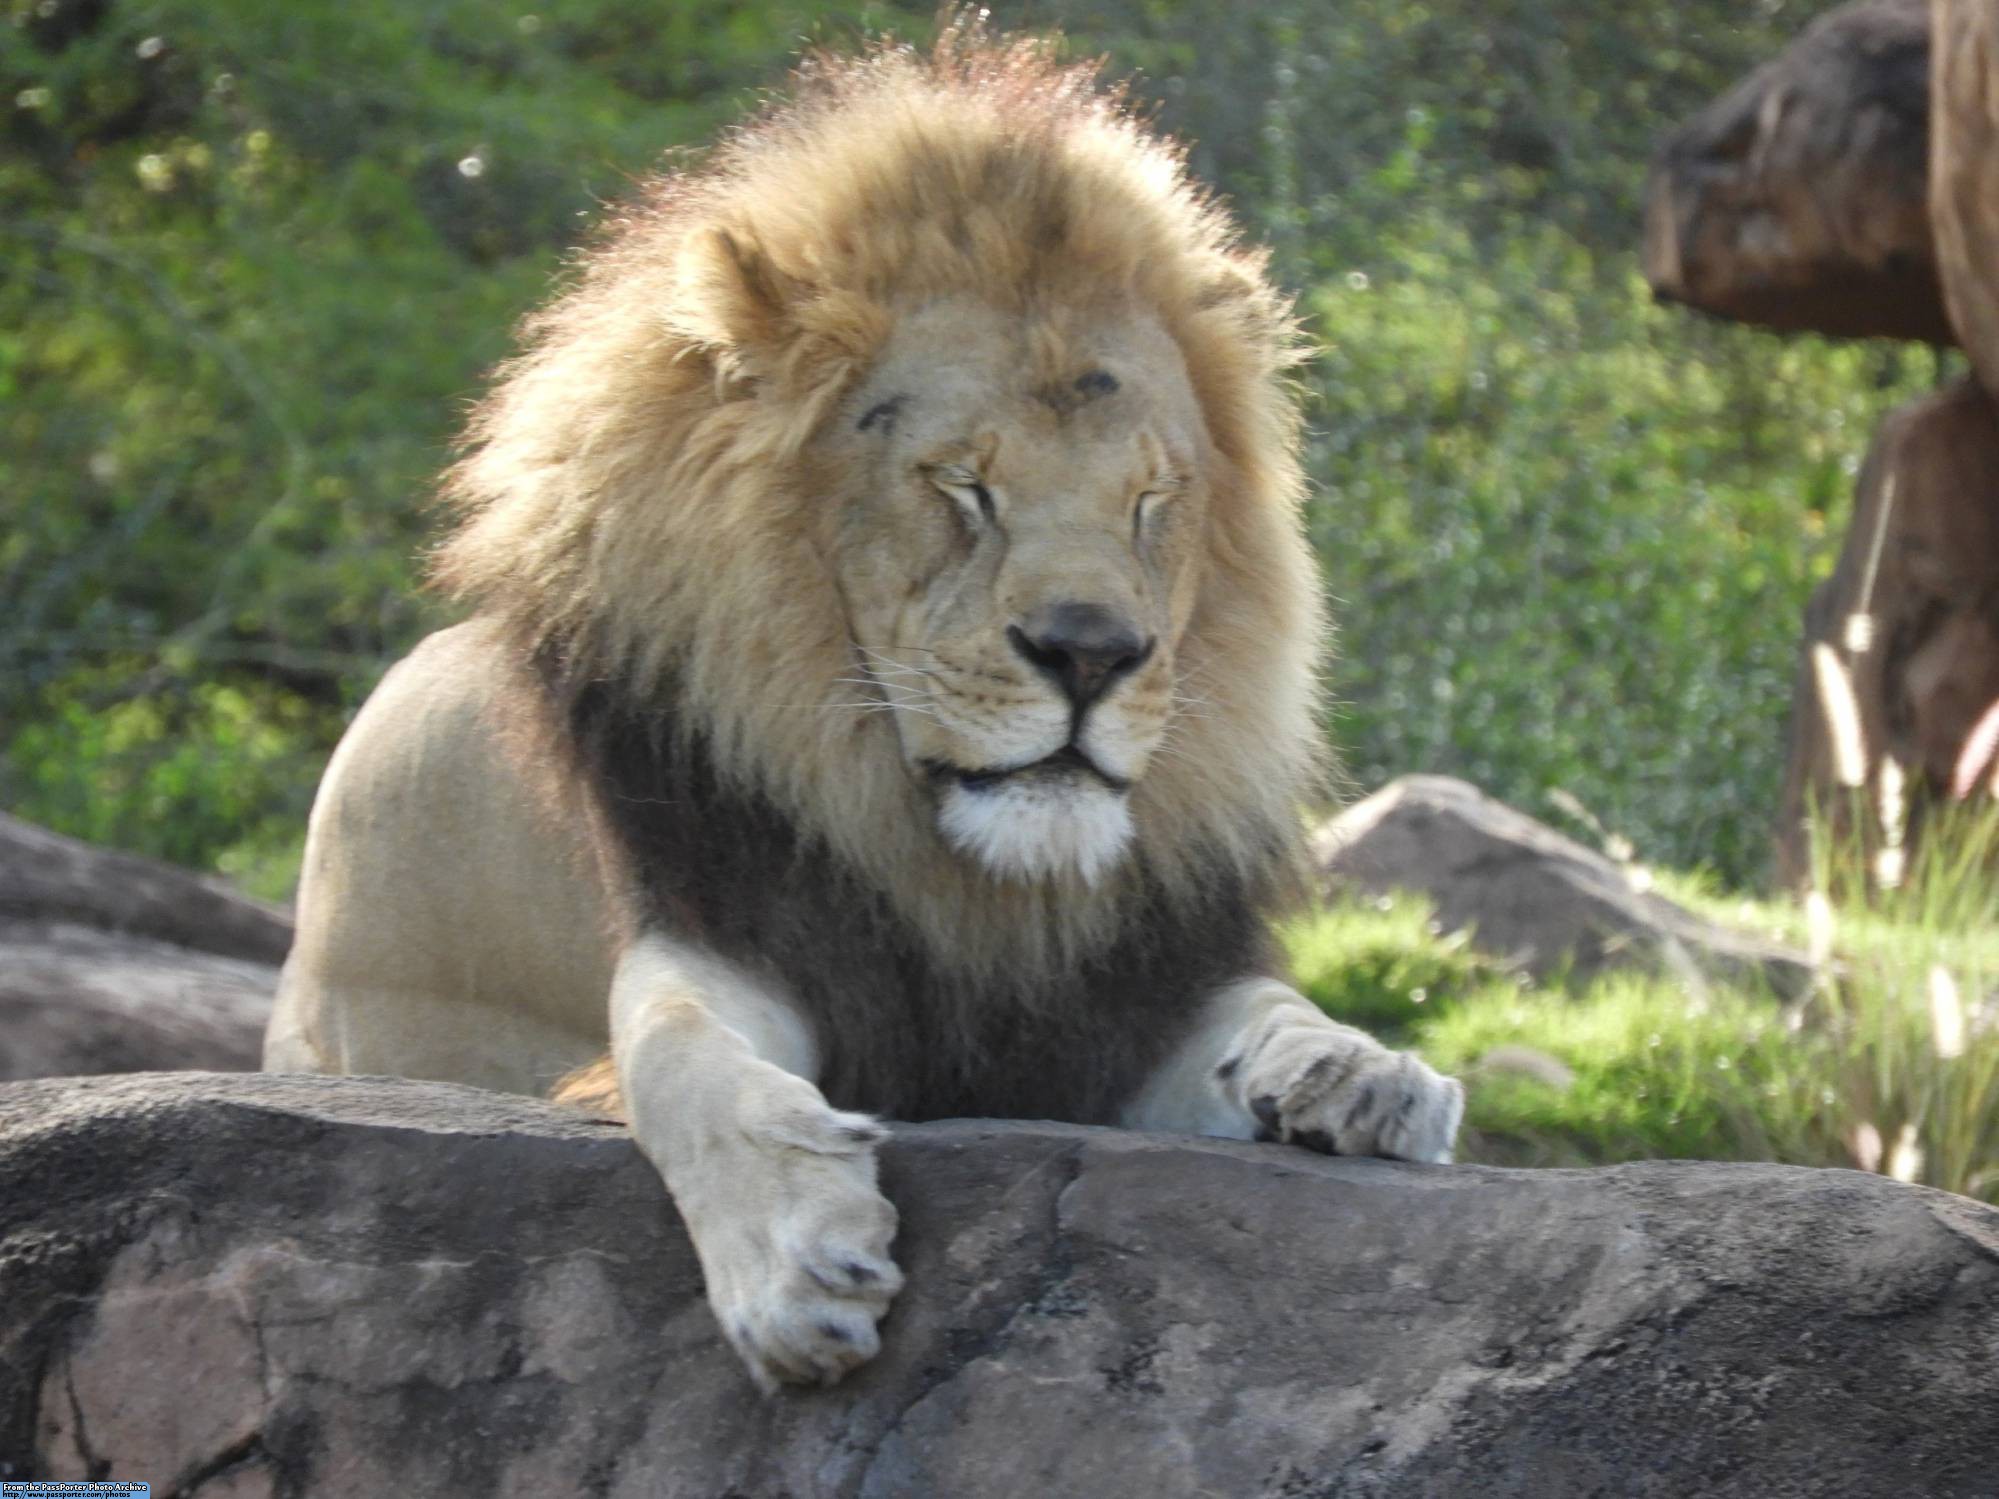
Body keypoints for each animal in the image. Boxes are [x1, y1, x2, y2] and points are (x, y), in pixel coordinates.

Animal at [265, 29, 1471, 1399]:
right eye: (962, 487)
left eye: (1151, 500)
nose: (1093, 652)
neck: (961, 869)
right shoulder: (722, 916)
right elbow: (674, 1045)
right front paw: (794, 1261)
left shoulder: (1125, 1002)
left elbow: (1269, 1008)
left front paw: (1362, 1072)